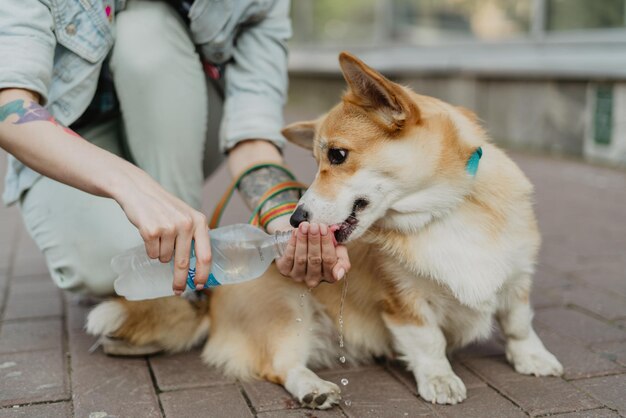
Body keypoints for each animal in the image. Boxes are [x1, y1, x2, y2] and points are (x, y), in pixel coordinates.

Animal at [86, 52, 560, 408]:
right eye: (316, 161)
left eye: (337, 155)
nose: (295, 220)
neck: (442, 211)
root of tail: (212, 299)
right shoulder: (403, 303)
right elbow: (428, 342)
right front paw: (440, 379)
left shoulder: (517, 278)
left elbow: (518, 322)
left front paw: (532, 358)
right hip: (288, 309)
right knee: (280, 366)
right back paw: (313, 388)